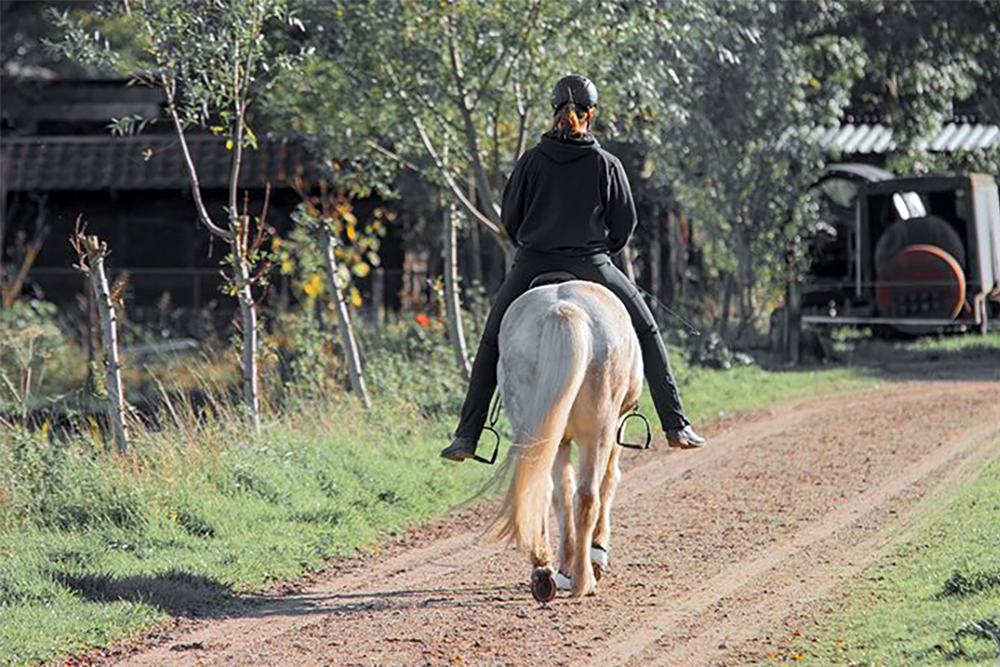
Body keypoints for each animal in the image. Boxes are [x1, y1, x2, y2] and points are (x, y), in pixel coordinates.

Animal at [488, 280, 644, 604]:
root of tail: (562, 310)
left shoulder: (558, 441)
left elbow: (561, 494)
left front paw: (564, 568)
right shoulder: (616, 427)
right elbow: (609, 480)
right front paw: (596, 555)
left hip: (540, 429)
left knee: (542, 489)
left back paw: (543, 571)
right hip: (599, 430)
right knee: (588, 495)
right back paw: (585, 580)